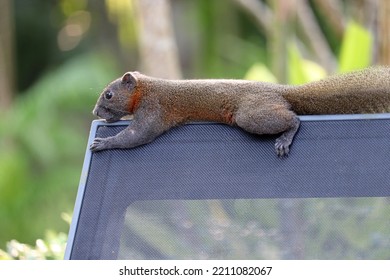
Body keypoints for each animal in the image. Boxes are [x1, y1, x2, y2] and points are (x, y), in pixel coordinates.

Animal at [90, 66, 390, 156]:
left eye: (109, 94)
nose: (95, 112)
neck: (145, 89)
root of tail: (280, 91)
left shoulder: (155, 108)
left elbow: (137, 135)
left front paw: (104, 142)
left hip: (251, 115)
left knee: (293, 118)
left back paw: (285, 137)